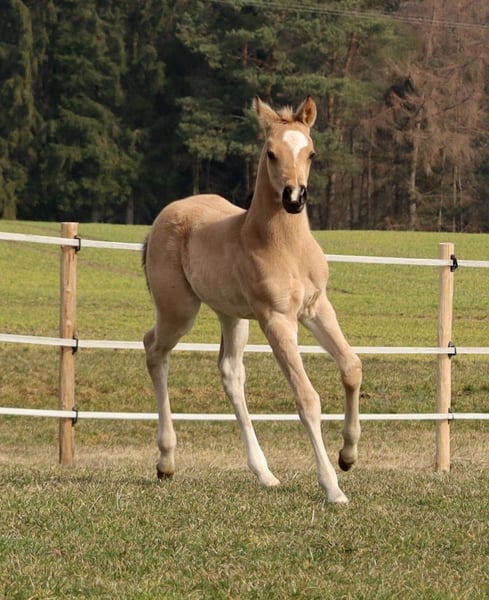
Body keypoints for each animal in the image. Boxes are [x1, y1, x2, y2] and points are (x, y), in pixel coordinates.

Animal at [142, 96, 362, 504]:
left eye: (311, 153)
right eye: (271, 153)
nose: (294, 198)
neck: (284, 245)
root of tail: (165, 214)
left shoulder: (316, 307)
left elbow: (351, 367)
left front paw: (348, 456)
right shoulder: (277, 319)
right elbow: (307, 398)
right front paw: (332, 487)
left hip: (231, 316)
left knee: (230, 372)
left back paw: (265, 473)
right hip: (179, 311)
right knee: (154, 349)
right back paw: (166, 461)